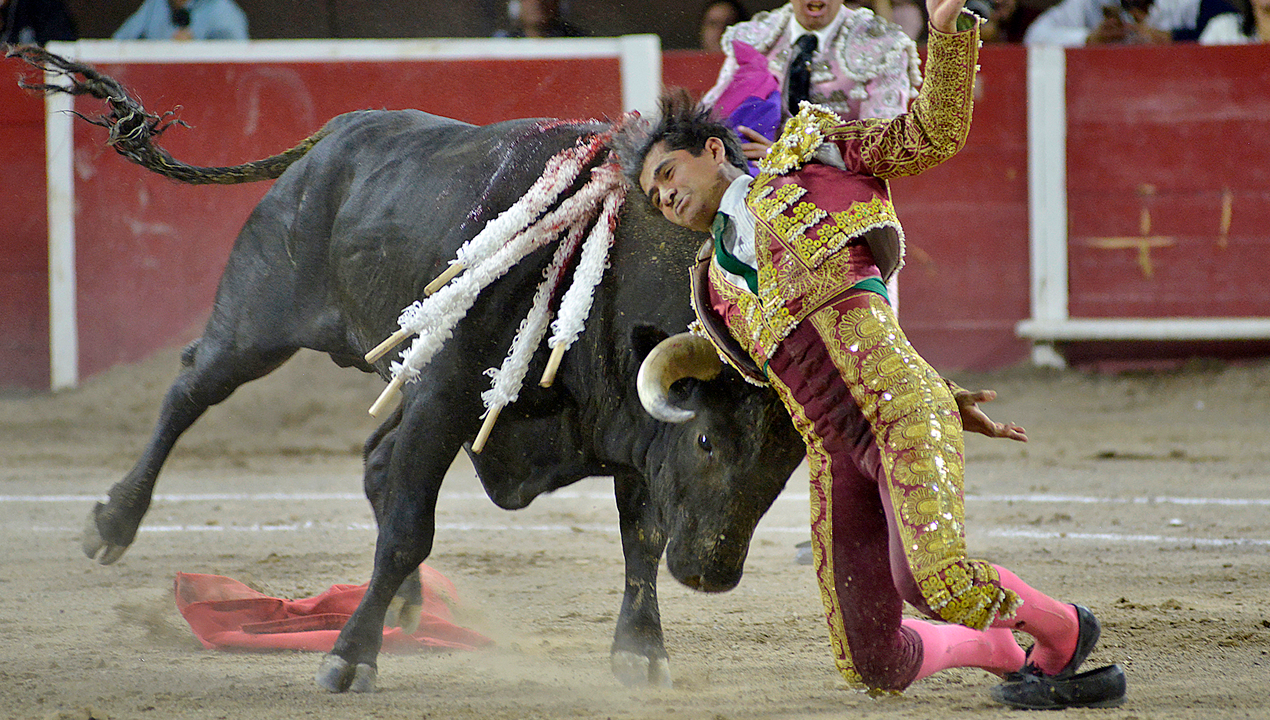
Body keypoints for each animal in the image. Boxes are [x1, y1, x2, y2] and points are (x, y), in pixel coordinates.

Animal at [32, 66, 812, 690]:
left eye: (783, 471)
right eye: (707, 443)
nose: (711, 573)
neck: (603, 274)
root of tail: (340, 132)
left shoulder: (633, 431)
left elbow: (641, 537)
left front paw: (641, 653)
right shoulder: (445, 399)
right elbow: (411, 529)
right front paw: (349, 658)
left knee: (377, 458)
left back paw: (404, 603)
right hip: (257, 320)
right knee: (193, 388)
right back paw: (112, 523)